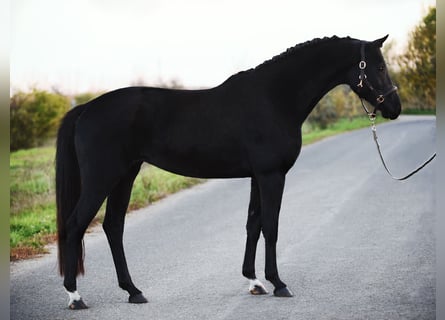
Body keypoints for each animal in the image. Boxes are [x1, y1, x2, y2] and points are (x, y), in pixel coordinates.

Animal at [54, 35, 398, 310]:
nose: (395, 107)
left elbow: (253, 224)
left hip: (125, 175)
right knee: (75, 225)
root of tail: (86, 108)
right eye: (379, 67)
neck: (274, 98)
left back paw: (133, 291)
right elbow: (271, 227)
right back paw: (75, 296)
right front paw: (278, 283)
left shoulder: (258, 176)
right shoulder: (272, 175)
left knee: (113, 227)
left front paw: (255, 282)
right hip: (102, 178)